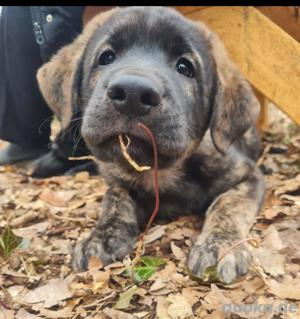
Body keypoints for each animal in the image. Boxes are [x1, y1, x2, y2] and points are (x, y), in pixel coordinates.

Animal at [37, 6, 264, 284]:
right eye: (107, 57)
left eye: (185, 67)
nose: (133, 94)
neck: (160, 170)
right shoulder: (118, 180)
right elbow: (115, 197)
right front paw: (102, 236)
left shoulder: (249, 176)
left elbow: (227, 204)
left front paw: (220, 245)